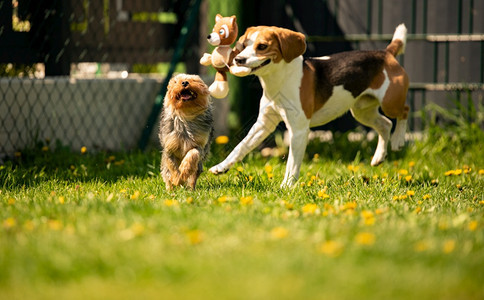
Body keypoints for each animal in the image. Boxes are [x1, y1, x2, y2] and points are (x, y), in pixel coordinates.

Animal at [211, 24, 408, 186]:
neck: (279, 80)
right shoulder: (263, 124)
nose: (239, 60)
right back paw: (378, 157)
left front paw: (286, 186)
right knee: (386, 124)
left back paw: (398, 140)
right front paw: (221, 167)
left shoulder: (298, 131)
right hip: (361, 111)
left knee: (404, 111)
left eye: (262, 47)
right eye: (244, 45)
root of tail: (386, 53)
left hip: (390, 102)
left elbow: (292, 163)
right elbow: (240, 147)